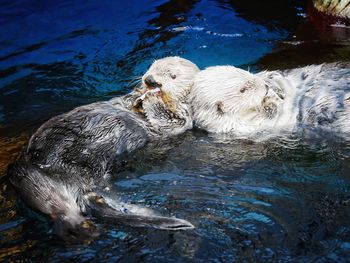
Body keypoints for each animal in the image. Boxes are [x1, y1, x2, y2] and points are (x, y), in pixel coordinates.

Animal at [6, 56, 200, 238]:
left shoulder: (181, 120)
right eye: (151, 68)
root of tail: (79, 185)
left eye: (173, 76)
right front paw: (139, 96)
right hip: (27, 171)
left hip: (31, 176)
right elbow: (130, 100)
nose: (150, 81)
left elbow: (168, 119)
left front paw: (152, 99)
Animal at [190, 60, 350, 137]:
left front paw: (274, 85)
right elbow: (269, 116)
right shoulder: (243, 127)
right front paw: (271, 102)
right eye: (243, 90)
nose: (265, 87)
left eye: (247, 73)